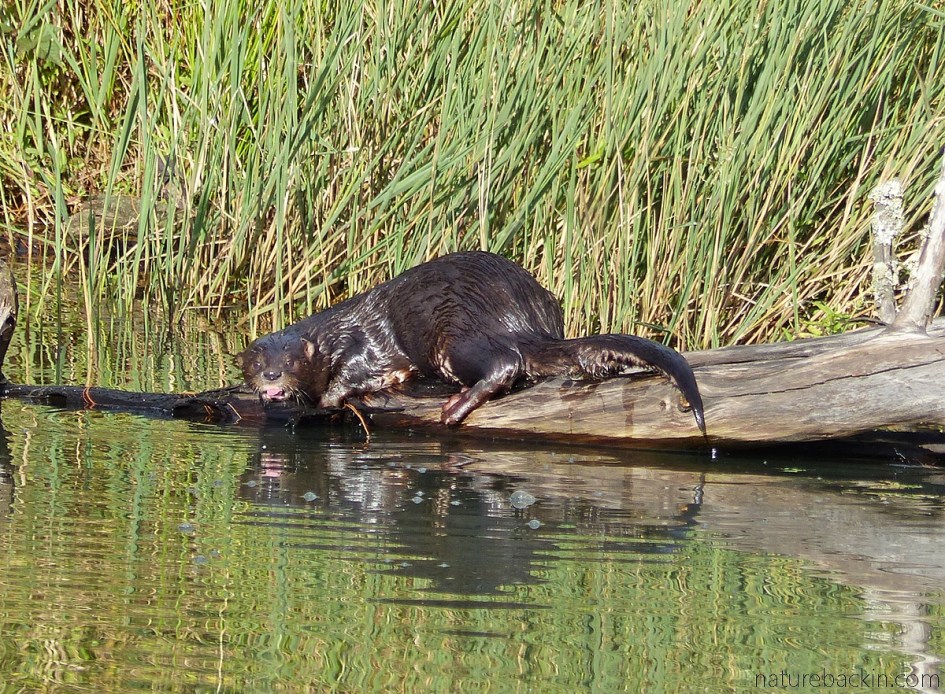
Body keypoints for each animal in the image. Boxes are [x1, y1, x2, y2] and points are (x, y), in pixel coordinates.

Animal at [240, 251, 706, 433]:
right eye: (256, 362)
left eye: (291, 362)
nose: (271, 376)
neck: (333, 332)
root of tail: (524, 318)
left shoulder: (363, 346)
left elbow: (353, 375)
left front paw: (328, 396)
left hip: (454, 335)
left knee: (506, 364)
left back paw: (455, 407)